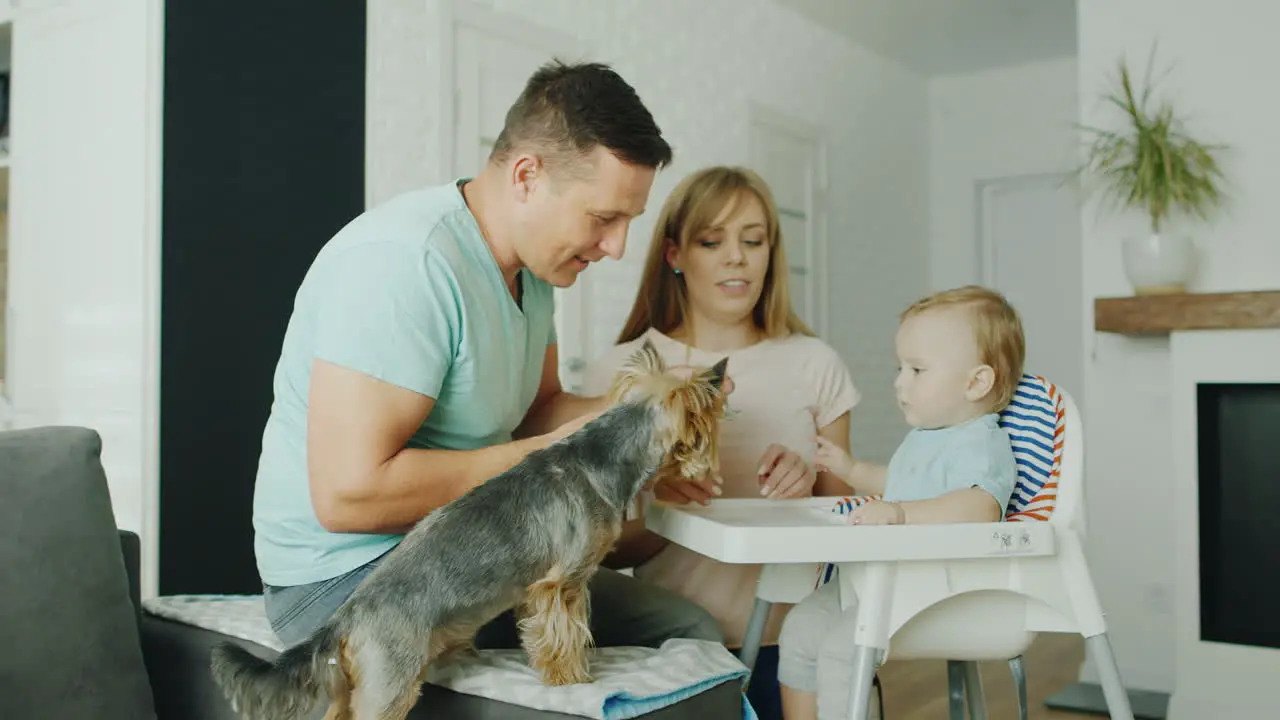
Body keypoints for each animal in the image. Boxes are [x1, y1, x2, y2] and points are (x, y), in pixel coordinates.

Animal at [215, 340, 727, 717]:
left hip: (353, 685)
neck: (608, 454)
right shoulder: (562, 583)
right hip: (389, 684)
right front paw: (571, 679)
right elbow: (565, 633)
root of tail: (346, 617)